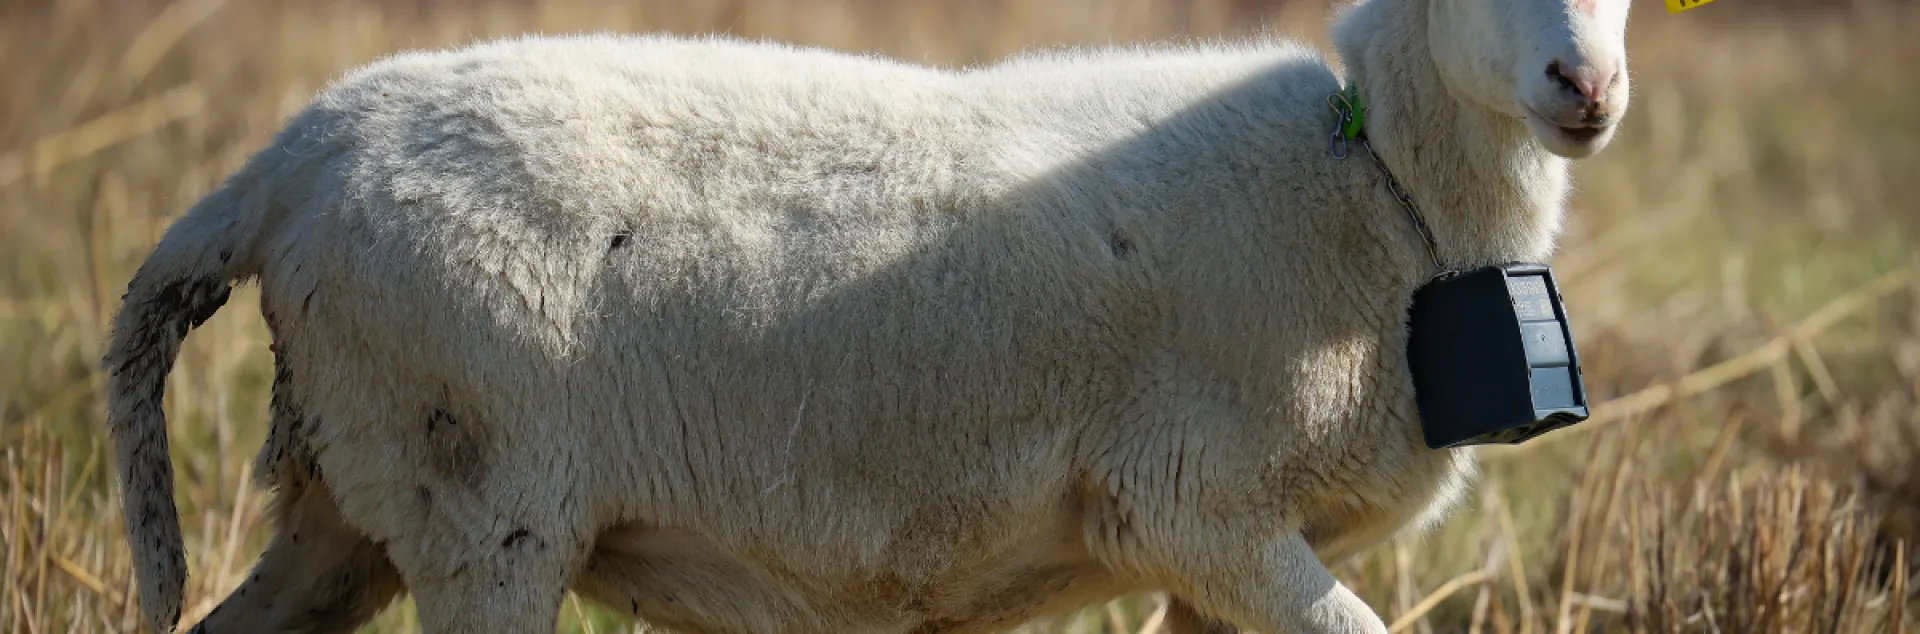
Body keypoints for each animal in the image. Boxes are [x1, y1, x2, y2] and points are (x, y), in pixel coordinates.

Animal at [101, 0, 1633, 631]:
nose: (1587, 86)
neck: (1381, 185)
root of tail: (289, 162)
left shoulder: (1226, 553)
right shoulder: (1198, 505)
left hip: (355, 498)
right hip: (484, 503)